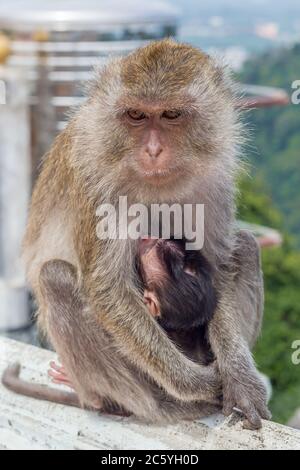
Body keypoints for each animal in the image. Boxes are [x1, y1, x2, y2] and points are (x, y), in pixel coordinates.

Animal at [6, 39, 270, 430]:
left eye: (171, 115)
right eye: (136, 115)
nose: (153, 150)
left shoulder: (214, 183)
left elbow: (219, 266)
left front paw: (239, 378)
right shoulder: (93, 177)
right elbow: (107, 289)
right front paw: (200, 383)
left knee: (246, 247)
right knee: (55, 276)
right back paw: (156, 405)